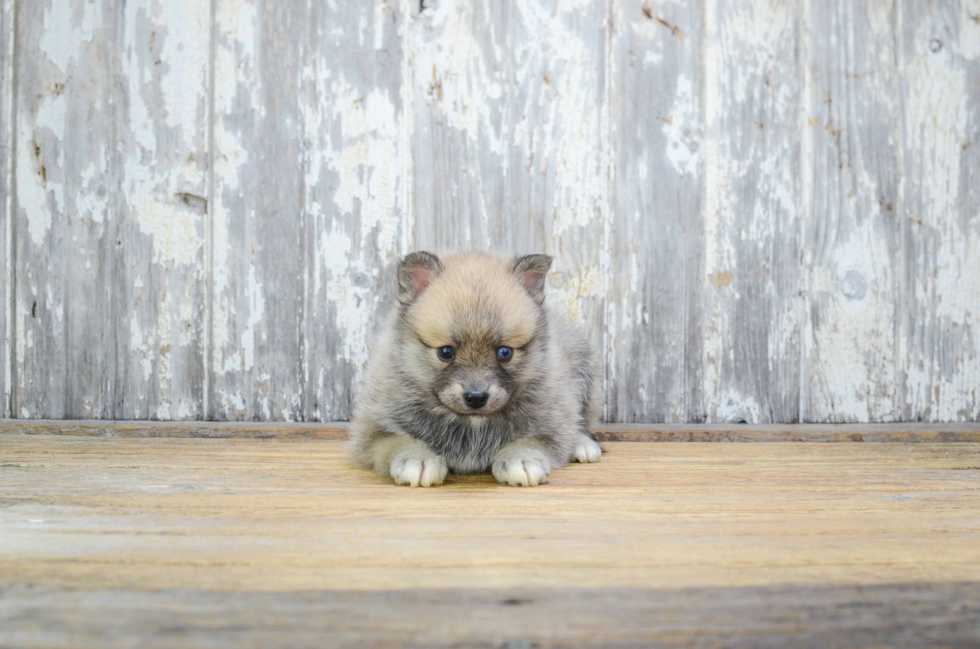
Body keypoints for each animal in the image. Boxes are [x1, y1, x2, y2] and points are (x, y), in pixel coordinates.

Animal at [348, 252, 600, 486]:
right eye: (446, 352)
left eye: (505, 352)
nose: (476, 397)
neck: (472, 426)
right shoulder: (373, 430)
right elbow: (397, 441)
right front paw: (417, 459)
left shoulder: (551, 423)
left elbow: (533, 440)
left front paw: (520, 458)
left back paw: (583, 444)